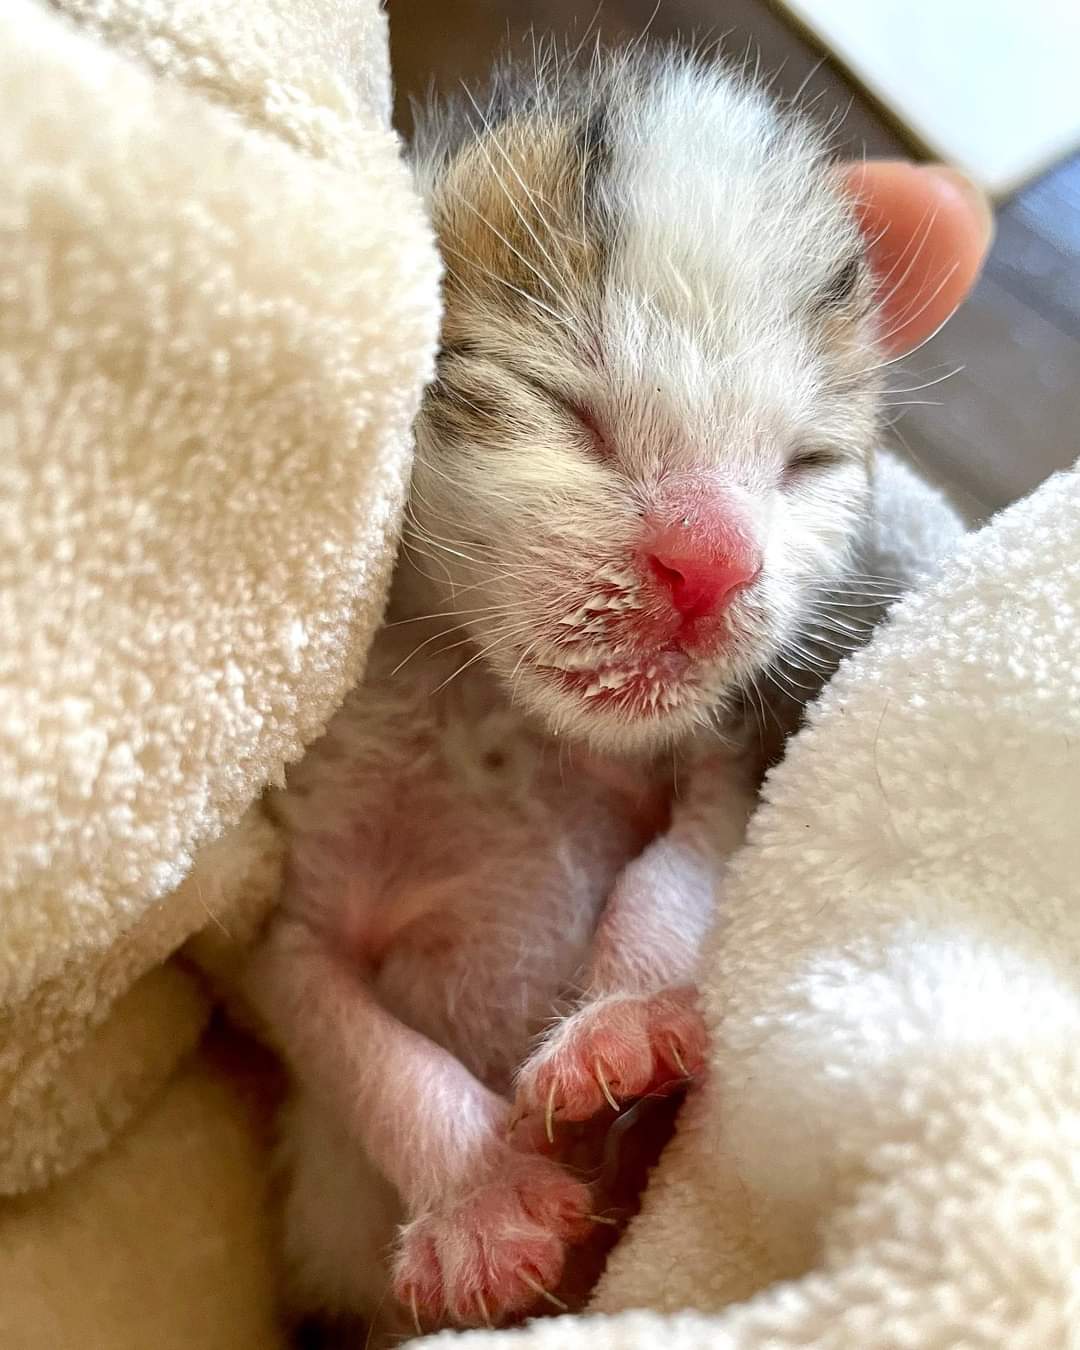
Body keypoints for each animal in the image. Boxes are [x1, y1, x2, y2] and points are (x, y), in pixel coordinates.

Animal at [246, 43, 885, 1342]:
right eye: (567, 408)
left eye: (808, 464)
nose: (713, 561)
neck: (502, 719)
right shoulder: (290, 893)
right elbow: (331, 1014)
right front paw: (481, 1198)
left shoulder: (719, 770)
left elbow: (678, 868)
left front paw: (629, 1022)